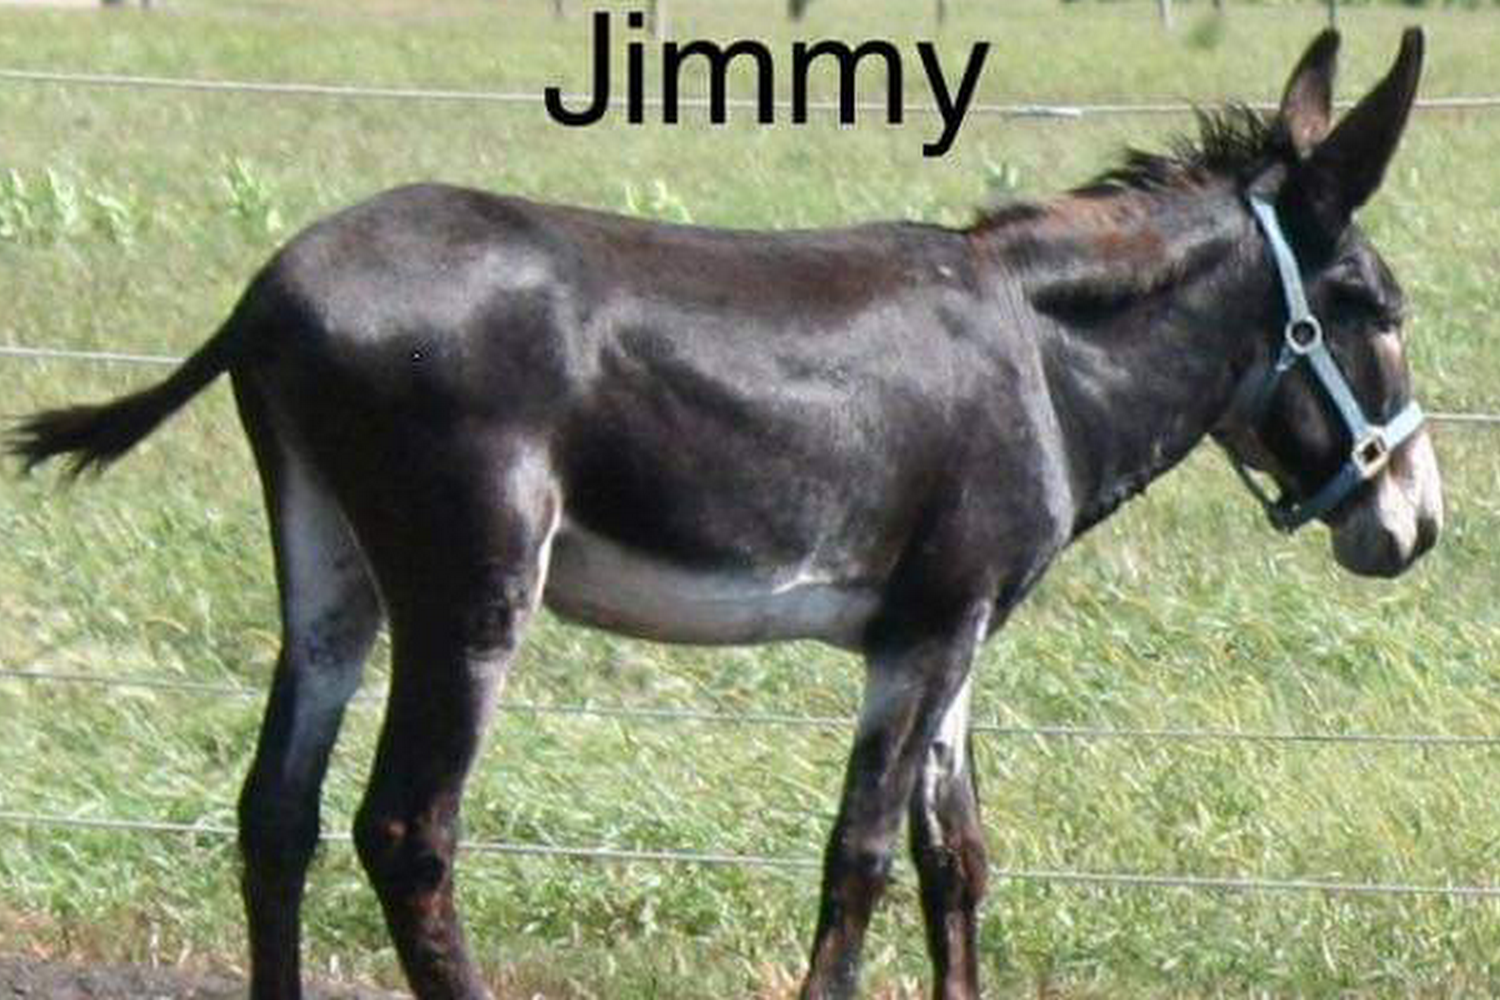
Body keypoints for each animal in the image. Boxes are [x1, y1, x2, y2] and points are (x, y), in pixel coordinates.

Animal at [9, 28, 1441, 1000]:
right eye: (1375, 308)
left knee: (277, 814)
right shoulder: (927, 633)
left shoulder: (958, 630)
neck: (1042, 355)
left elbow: (957, 856)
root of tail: (271, 285)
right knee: (408, 830)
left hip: (329, 568)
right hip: (471, 586)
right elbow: (862, 855)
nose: (1418, 528)